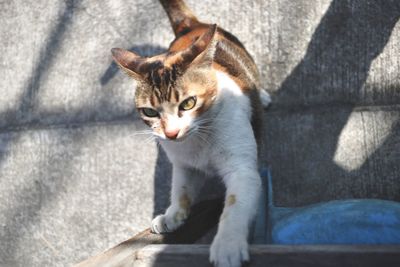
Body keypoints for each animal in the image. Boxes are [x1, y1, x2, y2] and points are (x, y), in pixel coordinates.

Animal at [111, 0, 270, 267]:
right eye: (150, 112)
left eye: (188, 103)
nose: (171, 132)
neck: (199, 137)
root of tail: (190, 25)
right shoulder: (183, 163)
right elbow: (182, 188)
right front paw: (172, 214)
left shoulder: (242, 169)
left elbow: (235, 204)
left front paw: (227, 244)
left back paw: (264, 95)